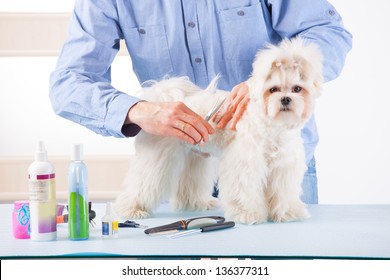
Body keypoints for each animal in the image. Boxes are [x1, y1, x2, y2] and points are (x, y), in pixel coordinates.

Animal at [115, 37, 322, 225]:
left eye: (297, 89)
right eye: (273, 90)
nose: (285, 99)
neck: (271, 127)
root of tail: (163, 99)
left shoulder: (283, 167)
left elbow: (283, 192)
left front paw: (287, 212)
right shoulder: (245, 165)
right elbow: (245, 191)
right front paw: (247, 214)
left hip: (194, 157)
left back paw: (197, 203)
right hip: (157, 159)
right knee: (141, 183)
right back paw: (133, 209)